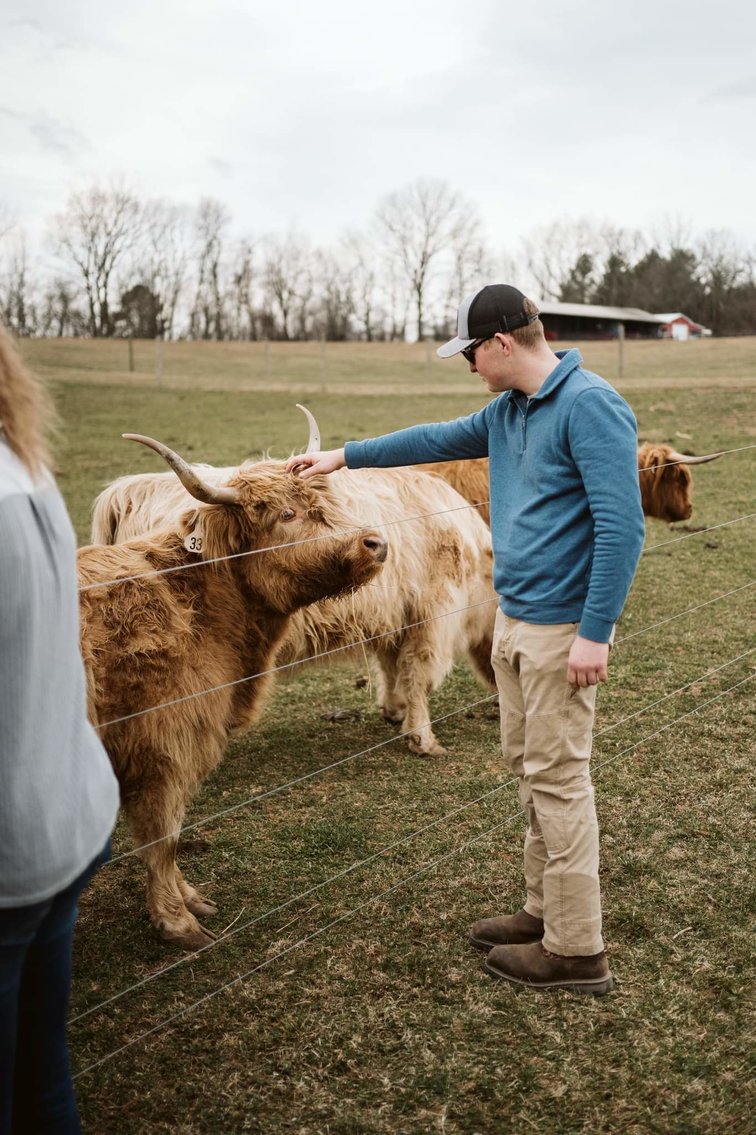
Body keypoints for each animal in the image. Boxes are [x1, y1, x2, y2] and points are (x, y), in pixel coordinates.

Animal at [79, 434, 388, 948]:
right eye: (285, 514)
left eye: (321, 503)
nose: (376, 543)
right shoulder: (165, 742)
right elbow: (164, 835)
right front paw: (178, 922)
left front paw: (190, 898)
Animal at [89, 410, 498, 759]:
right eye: (286, 514)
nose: (377, 544)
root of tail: (126, 494)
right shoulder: (433, 615)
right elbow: (418, 677)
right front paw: (423, 739)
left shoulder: (397, 613)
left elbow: (393, 666)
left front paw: (394, 712)